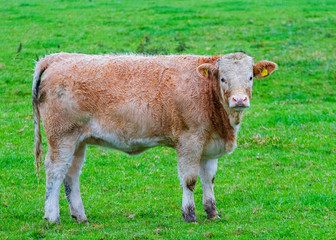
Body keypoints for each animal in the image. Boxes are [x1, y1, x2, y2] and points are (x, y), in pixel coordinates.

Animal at [32, 52, 278, 223]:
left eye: (250, 77)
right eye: (223, 78)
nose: (239, 100)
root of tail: (57, 57)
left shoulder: (209, 145)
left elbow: (209, 179)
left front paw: (212, 212)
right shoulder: (189, 141)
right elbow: (190, 180)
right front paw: (189, 215)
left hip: (78, 141)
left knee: (71, 174)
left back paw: (80, 216)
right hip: (62, 136)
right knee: (54, 171)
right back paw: (52, 217)